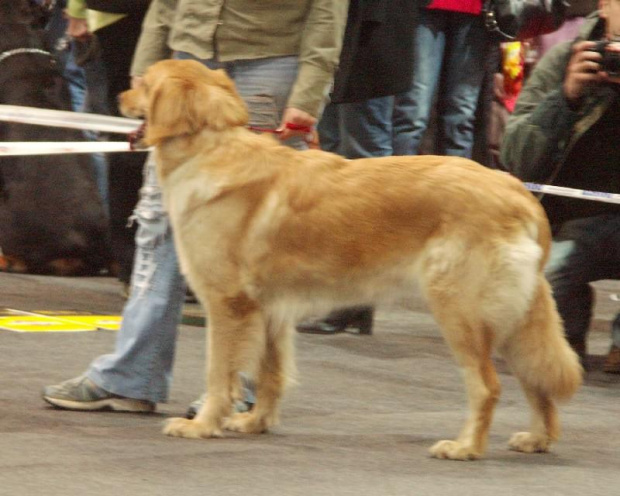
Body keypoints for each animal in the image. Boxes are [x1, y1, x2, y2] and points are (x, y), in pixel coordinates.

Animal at [118, 61, 584, 462]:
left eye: (144, 83)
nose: (121, 94)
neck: (210, 146)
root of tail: (518, 191)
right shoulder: (270, 307)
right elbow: (271, 373)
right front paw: (255, 422)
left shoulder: (227, 303)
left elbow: (219, 373)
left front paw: (202, 424)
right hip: (515, 318)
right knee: (537, 380)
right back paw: (538, 438)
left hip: (460, 311)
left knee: (487, 386)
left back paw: (465, 446)